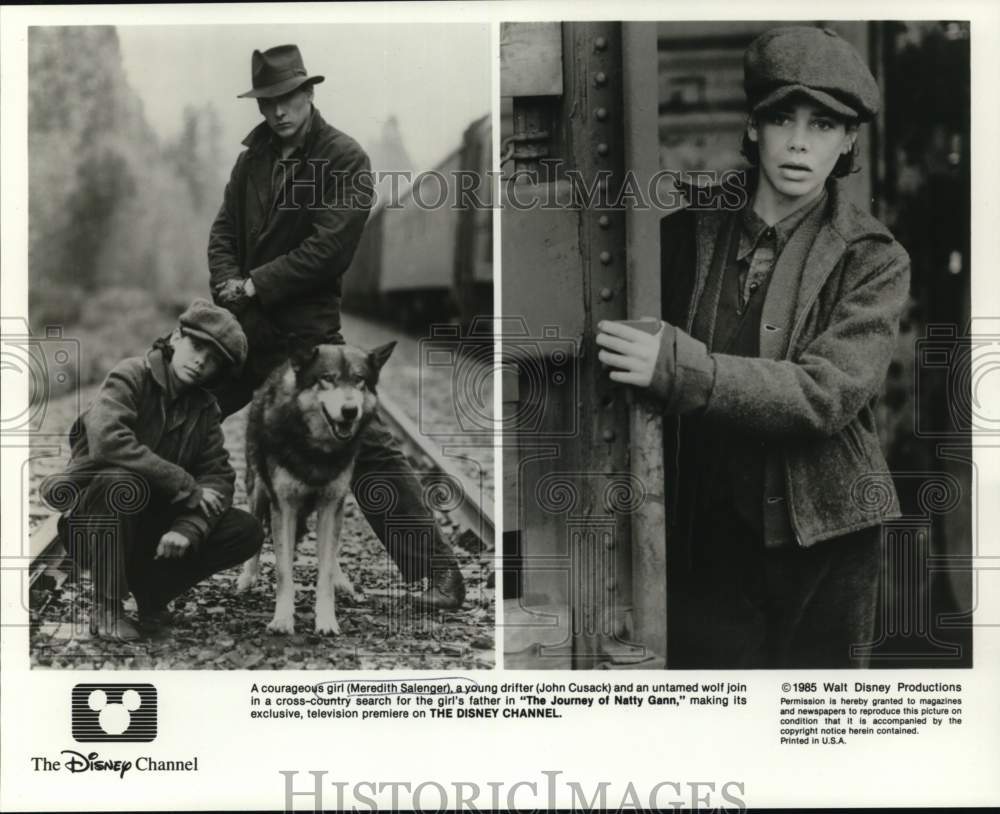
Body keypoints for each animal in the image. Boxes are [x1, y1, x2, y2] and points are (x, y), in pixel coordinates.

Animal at [239, 342, 398, 636]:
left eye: (359, 380)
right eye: (327, 378)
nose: (350, 410)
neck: (317, 451)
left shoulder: (332, 505)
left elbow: (324, 571)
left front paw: (326, 621)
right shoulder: (284, 507)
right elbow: (283, 570)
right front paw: (282, 620)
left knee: (331, 553)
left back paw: (342, 581)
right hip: (258, 490)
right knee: (257, 527)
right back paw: (246, 577)